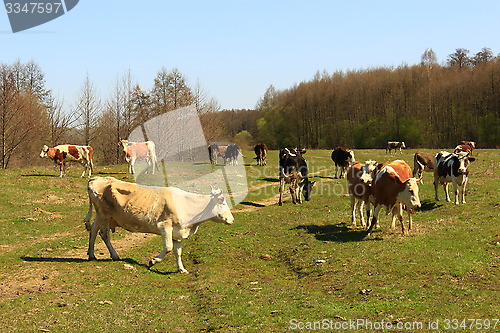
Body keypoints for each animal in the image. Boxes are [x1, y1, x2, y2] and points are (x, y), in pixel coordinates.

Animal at [84, 176, 234, 272]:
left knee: (93, 230)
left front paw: (181, 269)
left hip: (101, 215)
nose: (231, 220)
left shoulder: (178, 233)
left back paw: (91, 255)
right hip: (104, 214)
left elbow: (178, 252)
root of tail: (95, 179)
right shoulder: (165, 226)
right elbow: (168, 247)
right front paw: (152, 262)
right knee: (104, 233)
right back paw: (114, 255)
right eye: (222, 201)